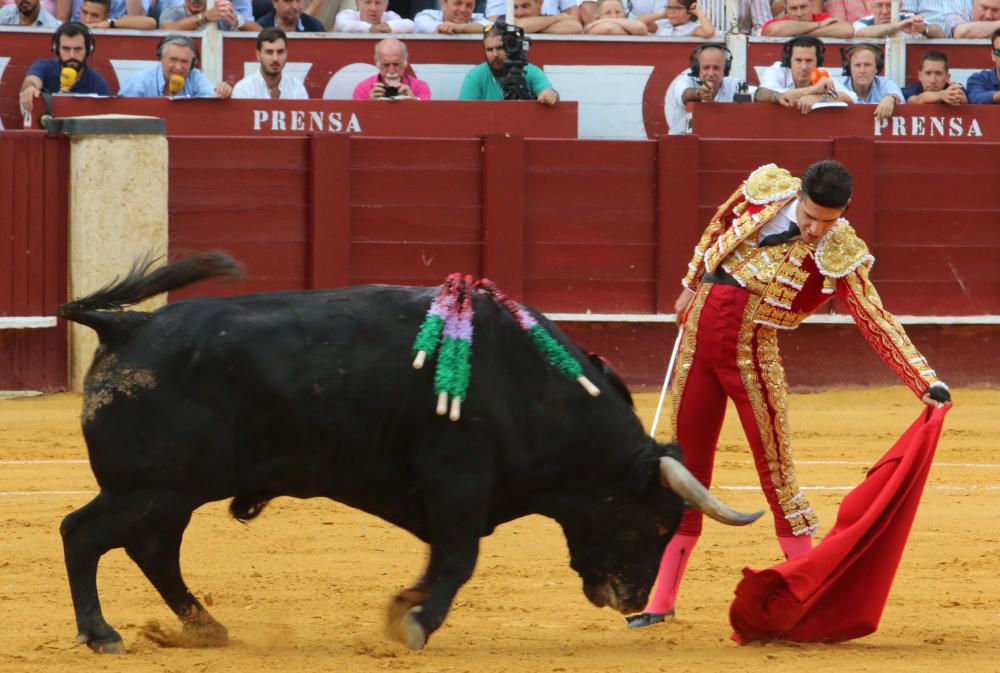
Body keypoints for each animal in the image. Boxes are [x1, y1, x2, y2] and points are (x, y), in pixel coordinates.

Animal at [56, 252, 756, 652]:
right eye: (657, 522)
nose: (633, 601)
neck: (532, 386)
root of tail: (128, 325)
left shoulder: (448, 497)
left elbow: (441, 559)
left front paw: (403, 608)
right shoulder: (459, 480)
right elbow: (460, 560)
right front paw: (418, 624)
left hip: (171, 491)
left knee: (153, 551)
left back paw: (206, 629)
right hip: (151, 488)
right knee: (83, 534)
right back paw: (102, 635)